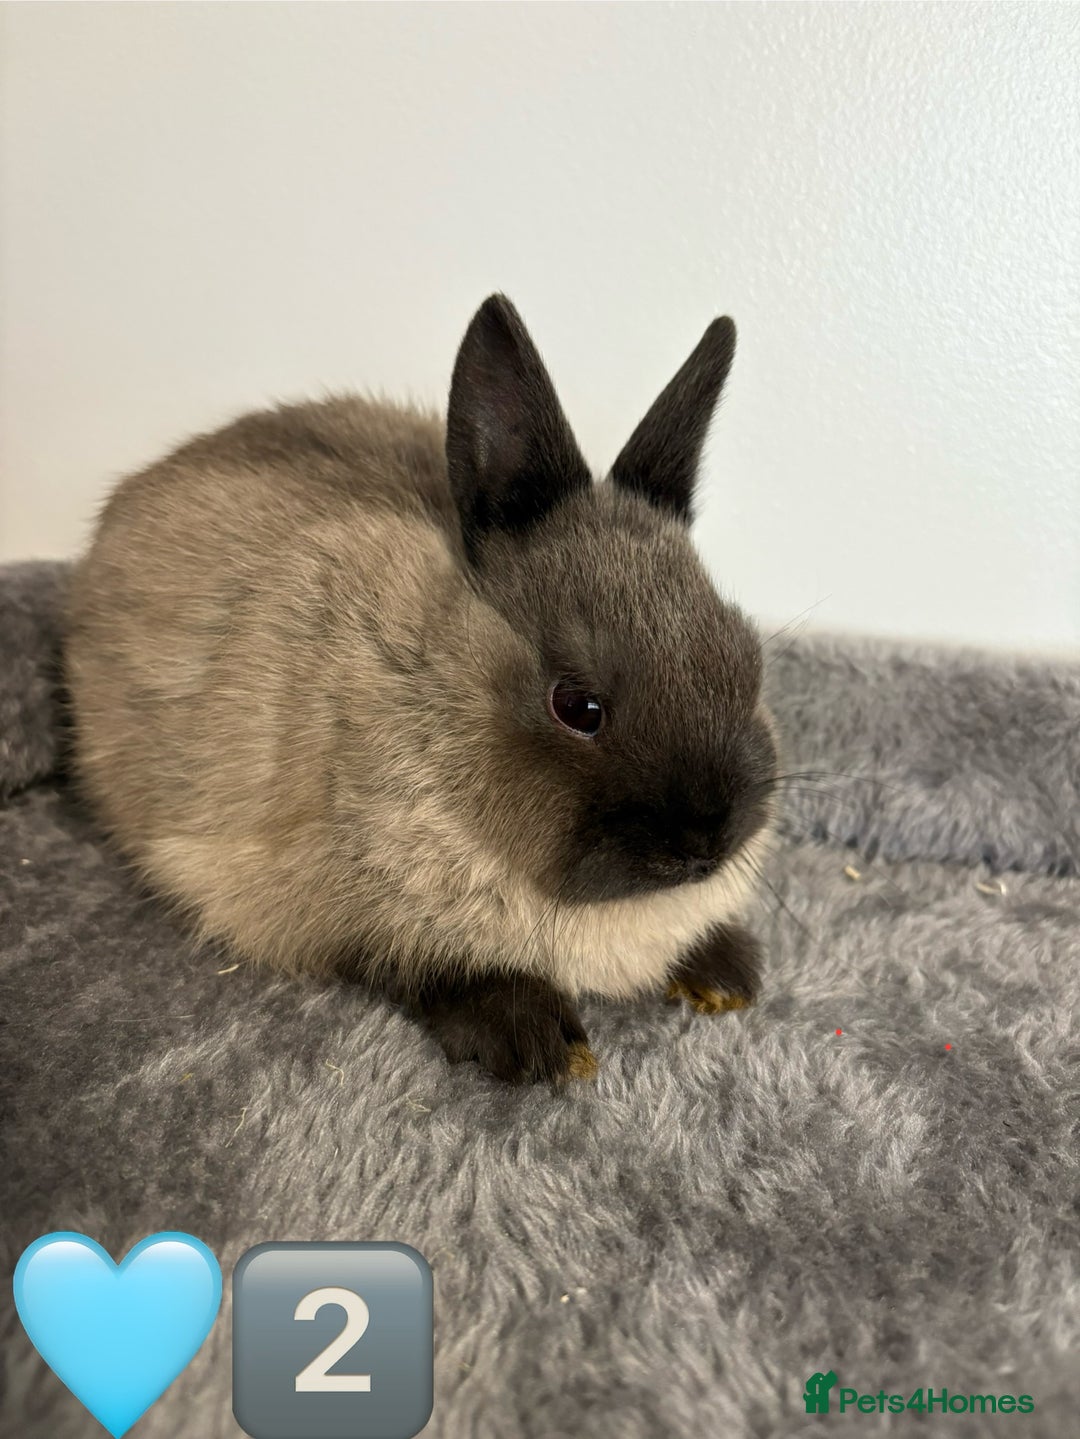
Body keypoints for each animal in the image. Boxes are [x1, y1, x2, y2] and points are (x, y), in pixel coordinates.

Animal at [65, 294, 780, 1084]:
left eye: (746, 659)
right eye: (577, 706)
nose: (705, 846)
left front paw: (728, 973)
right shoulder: (331, 913)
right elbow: (424, 968)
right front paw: (539, 1040)